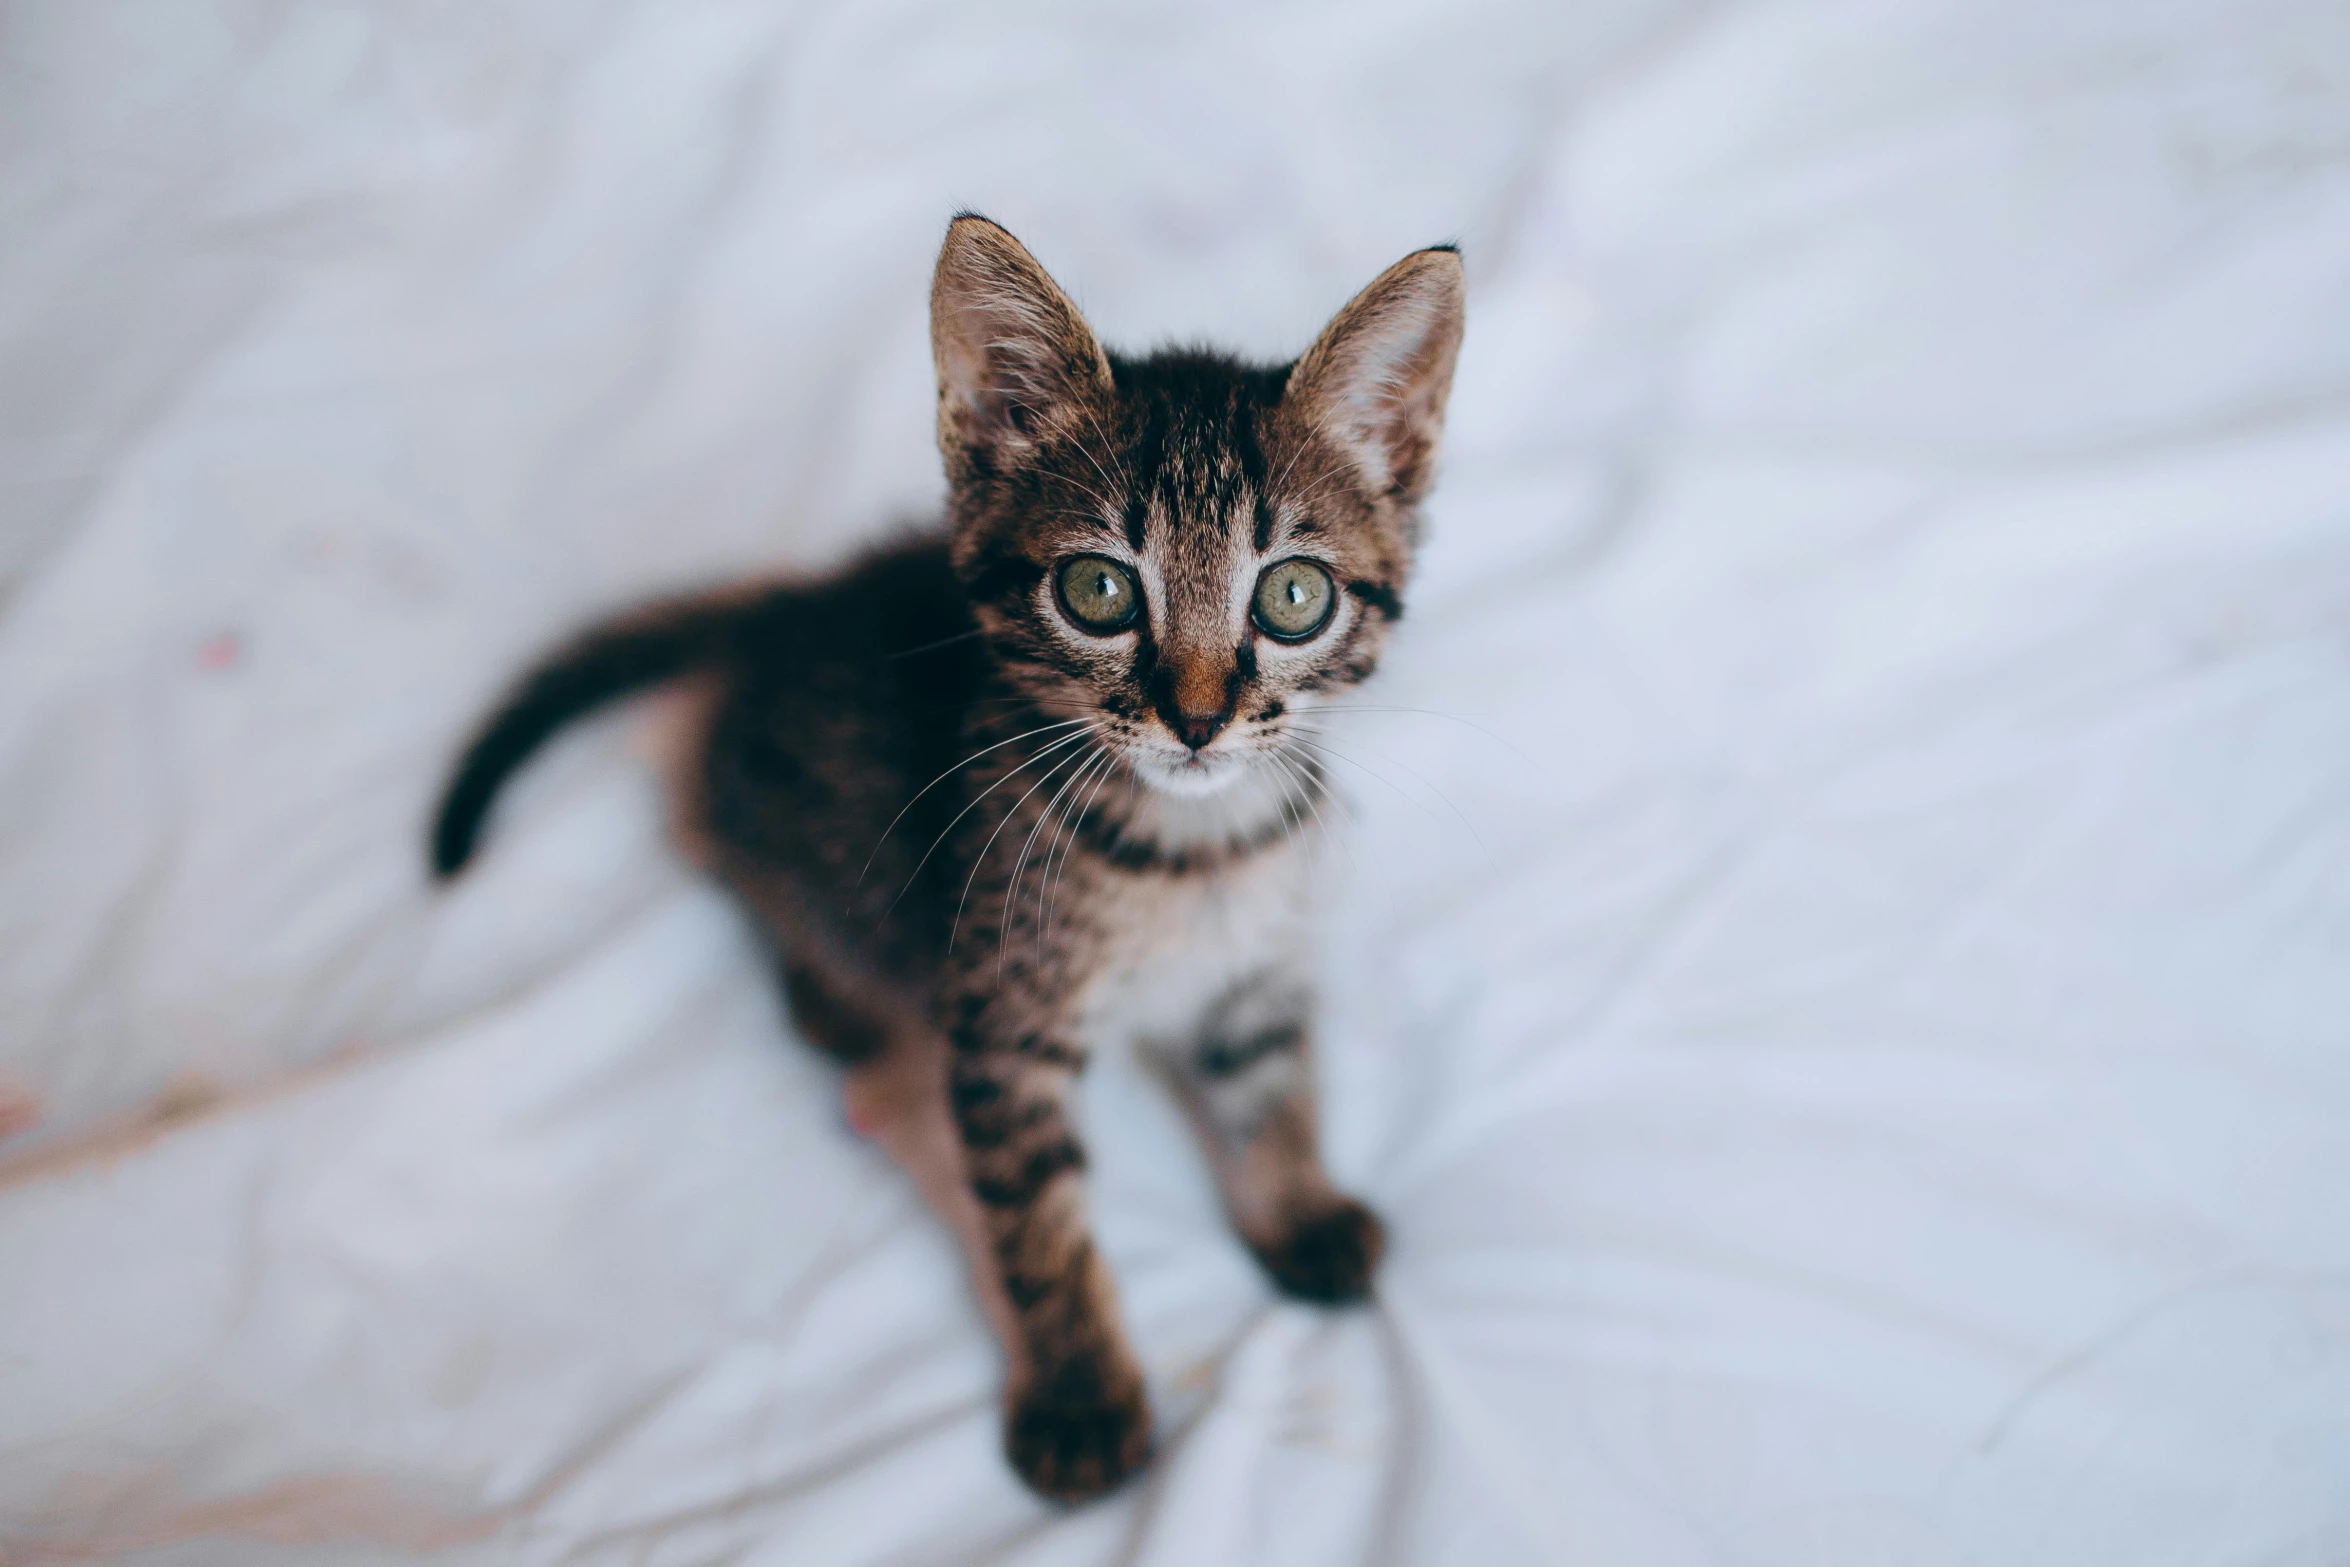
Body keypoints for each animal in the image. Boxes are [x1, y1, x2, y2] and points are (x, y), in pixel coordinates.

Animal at [430, 214, 1457, 1503]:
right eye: (1099, 588)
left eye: (1294, 595)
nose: (1198, 718)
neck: (1194, 851)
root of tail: (784, 610)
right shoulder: (999, 1017)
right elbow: (1038, 1222)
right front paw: (1078, 1392)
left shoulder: (1257, 968)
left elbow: (1272, 1087)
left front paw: (1296, 1204)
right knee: (737, 856)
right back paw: (830, 999)